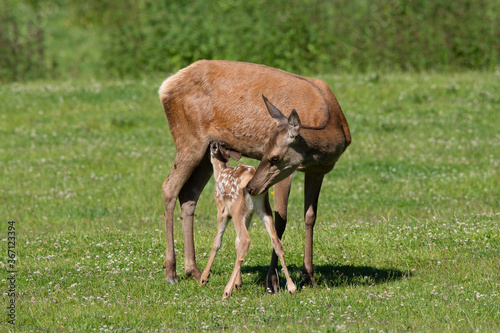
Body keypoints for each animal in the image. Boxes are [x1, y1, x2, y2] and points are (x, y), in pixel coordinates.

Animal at [158, 59, 350, 290]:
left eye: (274, 157)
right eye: (264, 149)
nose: (251, 188)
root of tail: (165, 87)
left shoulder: (317, 170)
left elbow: (310, 217)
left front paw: (309, 276)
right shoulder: (289, 172)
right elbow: (281, 220)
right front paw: (273, 281)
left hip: (206, 151)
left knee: (189, 194)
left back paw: (193, 270)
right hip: (188, 139)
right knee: (169, 187)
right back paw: (171, 271)